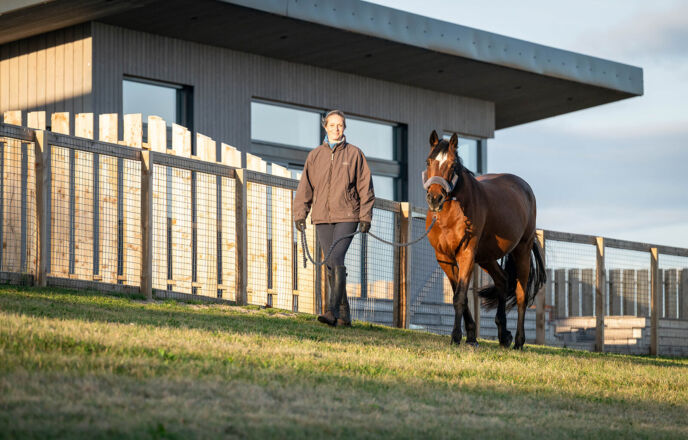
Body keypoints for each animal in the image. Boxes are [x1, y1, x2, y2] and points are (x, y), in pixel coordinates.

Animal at [423, 130, 546, 349]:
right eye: (429, 161)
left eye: (452, 165)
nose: (435, 198)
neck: (450, 214)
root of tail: (524, 188)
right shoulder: (444, 258)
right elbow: (458, 294)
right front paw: (471, 336)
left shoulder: (466, 254)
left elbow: (460, 296)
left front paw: (456, 336)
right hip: (486, 257)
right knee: (502, 280)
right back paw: (503, 335)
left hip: (521, 250)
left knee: (521, 295)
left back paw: (518, 341)